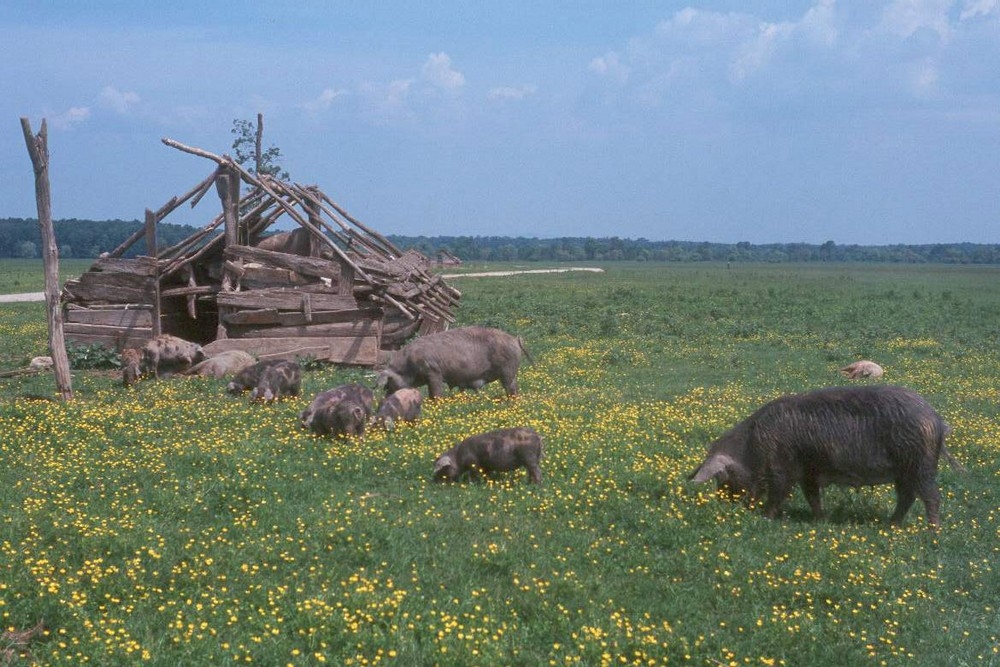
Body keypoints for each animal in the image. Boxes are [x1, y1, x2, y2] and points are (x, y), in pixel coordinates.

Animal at [376, 326, 532, 400]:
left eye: (390, 381)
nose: (386, 398)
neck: (408, 365)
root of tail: (515, 339)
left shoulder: (434, 372)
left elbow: (435, 392)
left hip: (508, 370)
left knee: (511, 388)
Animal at [688, 386, 960, 528]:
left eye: (725, 477)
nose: (726, 507)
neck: (755, 445)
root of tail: (936, 420)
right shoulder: (809, 471)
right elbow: (812, 497)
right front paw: (821, 520)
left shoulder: (782, 467)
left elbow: (778, 493)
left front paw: (765, 518)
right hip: (904, 471)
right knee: (907, 496)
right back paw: (890, 525)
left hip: (921, 464)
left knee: (931, 496)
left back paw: (932, 532)